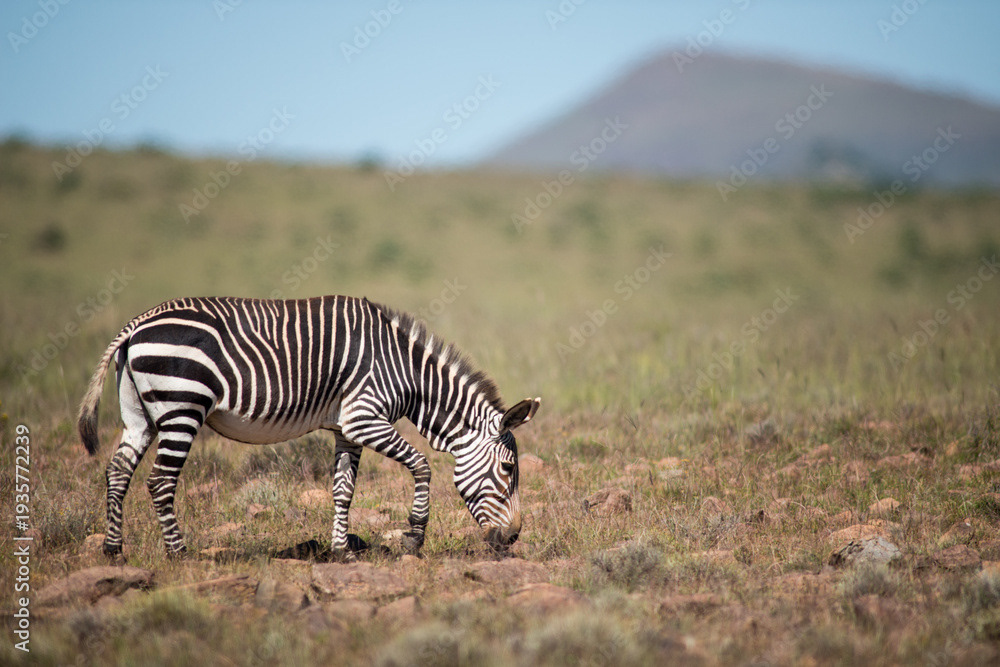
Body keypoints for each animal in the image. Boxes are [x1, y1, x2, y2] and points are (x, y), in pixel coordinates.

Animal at [77, 295, 540, 559]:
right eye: (509, 469)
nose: (514, 537)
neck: (405, 372)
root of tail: (137, 323)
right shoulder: (364, 417)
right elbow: (422, 465)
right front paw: (414, 537)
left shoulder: (347, 428)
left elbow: (343, 489)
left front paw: (341, 551)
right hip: (182, 407)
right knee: (160, 481)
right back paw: (179, 553)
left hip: (139, 415)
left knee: (118, 472)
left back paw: (113, 550)